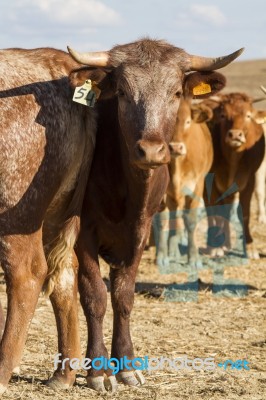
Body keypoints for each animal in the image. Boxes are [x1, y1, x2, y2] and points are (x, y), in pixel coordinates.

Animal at [156, 95, 214, 268]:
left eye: (188, 121)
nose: (175, 148)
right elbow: (163, 220)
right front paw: (161, 256)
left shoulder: (196, 186)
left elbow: (191, 220)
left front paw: (193, 258)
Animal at [203, 92, 264, 258]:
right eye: (223, 115)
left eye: (248, 115)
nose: (235, 135)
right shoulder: (211, 181)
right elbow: (215, 212)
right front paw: (215, 246)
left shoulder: (249, 181)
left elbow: (245, 213)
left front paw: (250, 247)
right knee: (212, 210)